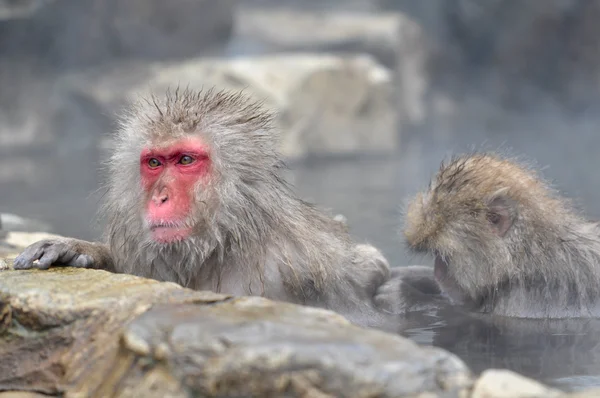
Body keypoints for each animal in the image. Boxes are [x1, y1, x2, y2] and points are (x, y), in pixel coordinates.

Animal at [9, 87, 432, 330]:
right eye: (154, 163)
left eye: (185, 160)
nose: (160, 196)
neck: (222, 240)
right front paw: (77, 250)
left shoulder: (302, 269)